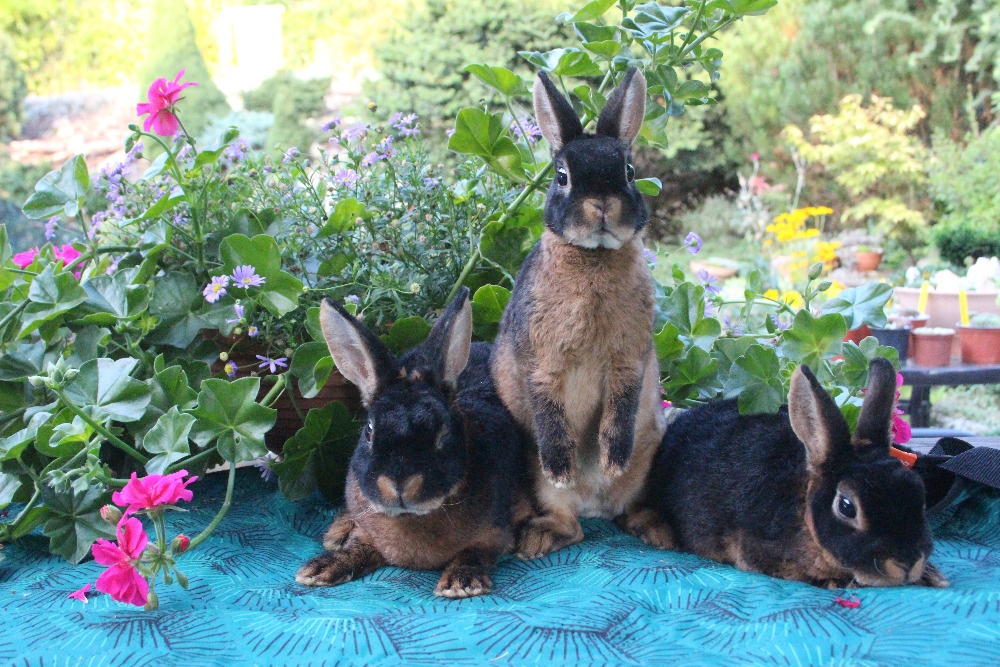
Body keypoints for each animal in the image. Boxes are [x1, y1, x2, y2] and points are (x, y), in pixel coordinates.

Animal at [294, 288, 532, 600]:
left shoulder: (497, 532)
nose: (399, 484)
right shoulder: (367, 532)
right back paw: (336, 533)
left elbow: (475, 552)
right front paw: (319, 569)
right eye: (369, 431)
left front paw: (460, 583)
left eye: (443, 433)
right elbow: (357, 547)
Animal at [490, 66, 664, 560]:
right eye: (562, 175)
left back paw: (653, 528)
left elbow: (621, 407)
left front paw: (611, 459)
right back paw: (538, 538)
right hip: (539, 484)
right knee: (572, 528)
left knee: (626, 511)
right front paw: (563, 467)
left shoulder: (629, 361)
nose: (602, 203)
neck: (594, 258)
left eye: (628, 171)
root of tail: (594, 507)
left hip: (648, 461)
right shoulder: (541, 364)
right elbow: (549, 411)